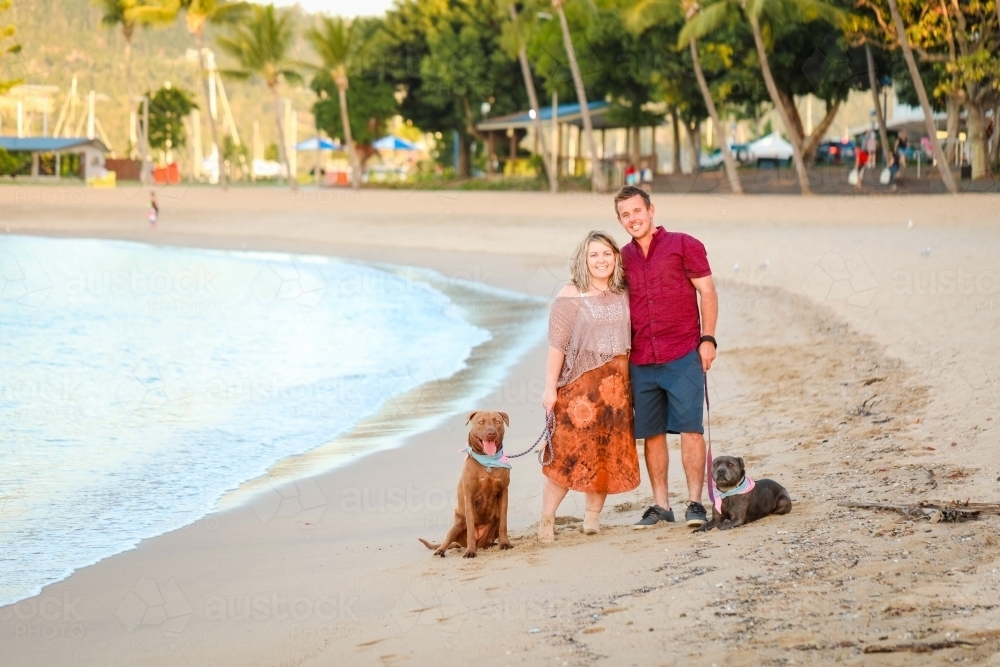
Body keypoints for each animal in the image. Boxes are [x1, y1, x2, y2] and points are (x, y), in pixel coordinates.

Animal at [418, 412, 512, 560]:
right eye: (480, 422)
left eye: (497, 421)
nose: (491, 433)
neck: (488, 461)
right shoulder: (470, 497)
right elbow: (471, 529)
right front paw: (470, 551)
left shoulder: (503, 492)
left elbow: (504, 523)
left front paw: (505, 543)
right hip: (457, 525)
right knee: (448, 539)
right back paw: (441, 550)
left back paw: (491, 544)